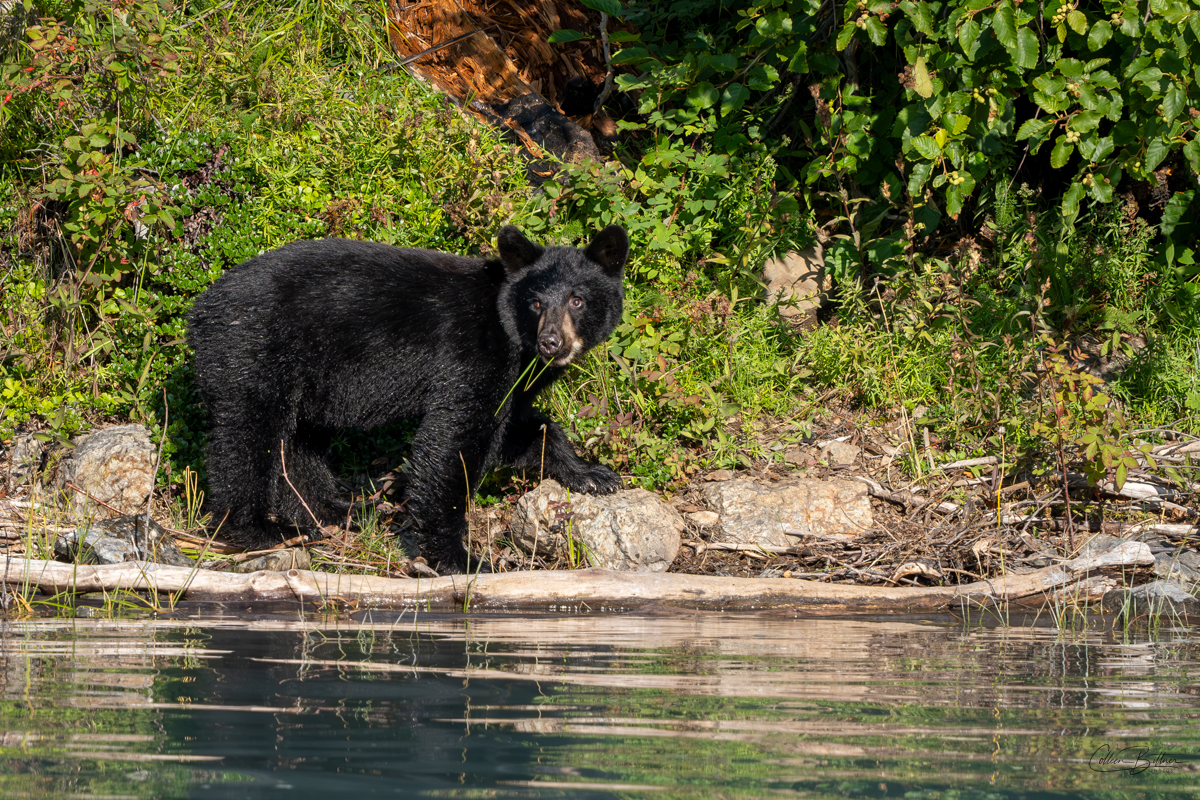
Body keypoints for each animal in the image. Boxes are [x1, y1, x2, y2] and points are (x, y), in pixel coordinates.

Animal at [187, 225, 628, 573]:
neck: (514, 336)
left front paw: (591, 474)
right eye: (536, 302)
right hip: (252, 349)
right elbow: (456, 438)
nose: (550, 342)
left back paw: (339, 510)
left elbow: (519, 427)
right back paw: (261, 528)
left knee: (299, 441)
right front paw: (460, 558)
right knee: (247, 434)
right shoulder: (475, 352)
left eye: (577, 299)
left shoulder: (517, 375)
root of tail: (199, 308)